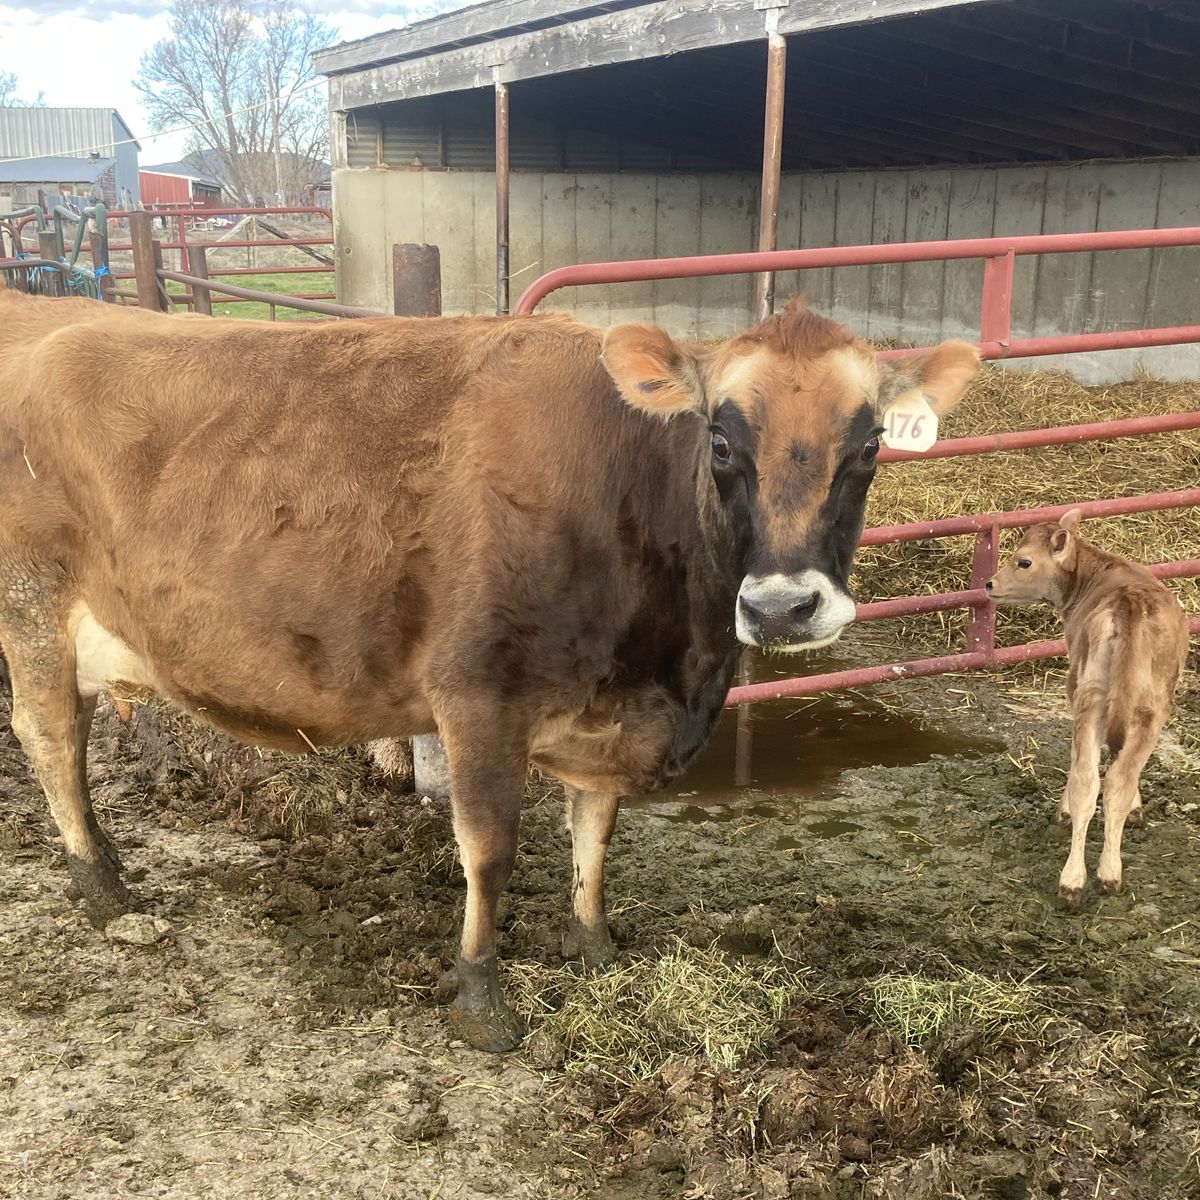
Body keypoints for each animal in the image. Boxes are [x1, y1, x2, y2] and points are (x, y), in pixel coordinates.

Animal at [0, 289, 979, 1049]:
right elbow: (490, 851)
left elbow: (594, 835)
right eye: (721, 441)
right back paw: (105, 892)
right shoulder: (478, 697)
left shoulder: (602, 714)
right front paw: (480, 997)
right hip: (34, 611)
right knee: (50, 741)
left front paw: (595, 948)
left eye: (870, 446)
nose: (782, 607)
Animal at [986, 509, 1190, 903]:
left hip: (1090, 693)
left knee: (1089, 781)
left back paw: (1074, 879)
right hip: (1149, 705)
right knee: (1117, 780)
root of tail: (1129, 602)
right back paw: (1108, 872)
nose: (989, 584)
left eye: (1024, 561)